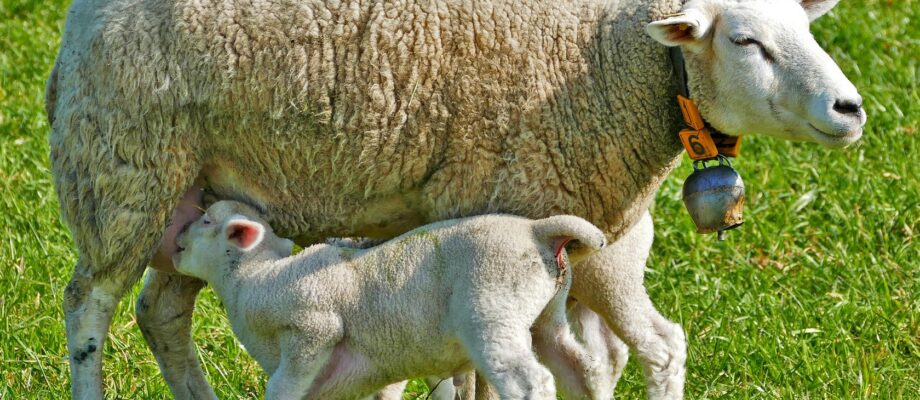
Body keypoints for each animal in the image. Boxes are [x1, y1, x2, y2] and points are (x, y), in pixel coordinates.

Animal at [174, 202, 612, 398]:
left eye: (207, 220)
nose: (175, 241)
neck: (253, 279)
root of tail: (538, 232)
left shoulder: (313, 326)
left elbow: (283, 385)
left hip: (491, 308)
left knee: (528, 382)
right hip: (547, 315)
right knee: (584, 369)